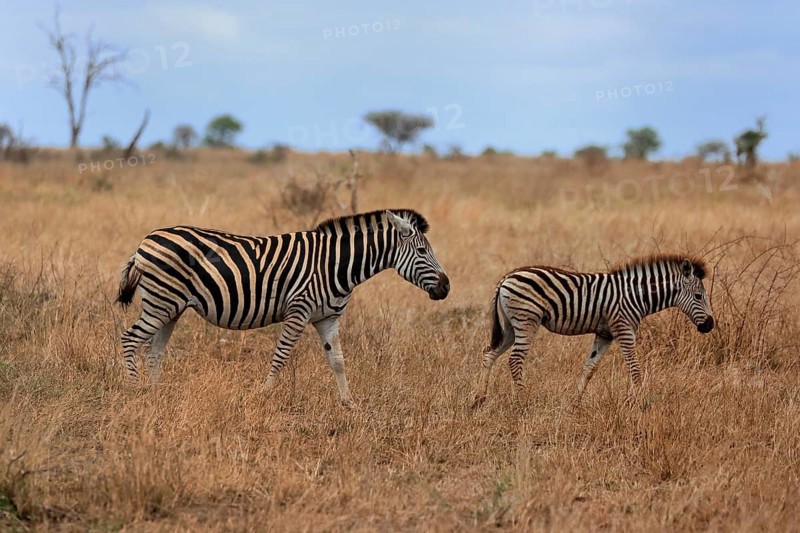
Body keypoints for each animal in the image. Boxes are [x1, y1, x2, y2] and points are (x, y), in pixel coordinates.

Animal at [116, 209, 450, 407]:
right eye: (422, 251)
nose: (446, 288)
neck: (335, 265)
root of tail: (146, 239)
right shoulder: (298, 311)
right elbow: (281, 357)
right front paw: (261, 396)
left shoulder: (328, 318)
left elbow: (338, 361)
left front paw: (349, 404)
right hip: (161, 302)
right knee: (130, 339)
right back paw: (133, 390)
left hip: (171, 307)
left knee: (154, 350)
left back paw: (156, 394)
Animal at [472, 254, 714, 407]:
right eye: (698, 297)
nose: (710, 325)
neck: (637, 295)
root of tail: (507, 277)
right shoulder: (623, 328)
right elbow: (634, 367)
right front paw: (638, 402)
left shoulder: (604, 334)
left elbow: (590, 367)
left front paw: (576, 402)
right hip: (526, 320)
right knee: (515, 360)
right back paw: (523, 401)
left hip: (510, 326)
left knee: (489, 353)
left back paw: (479, 398)